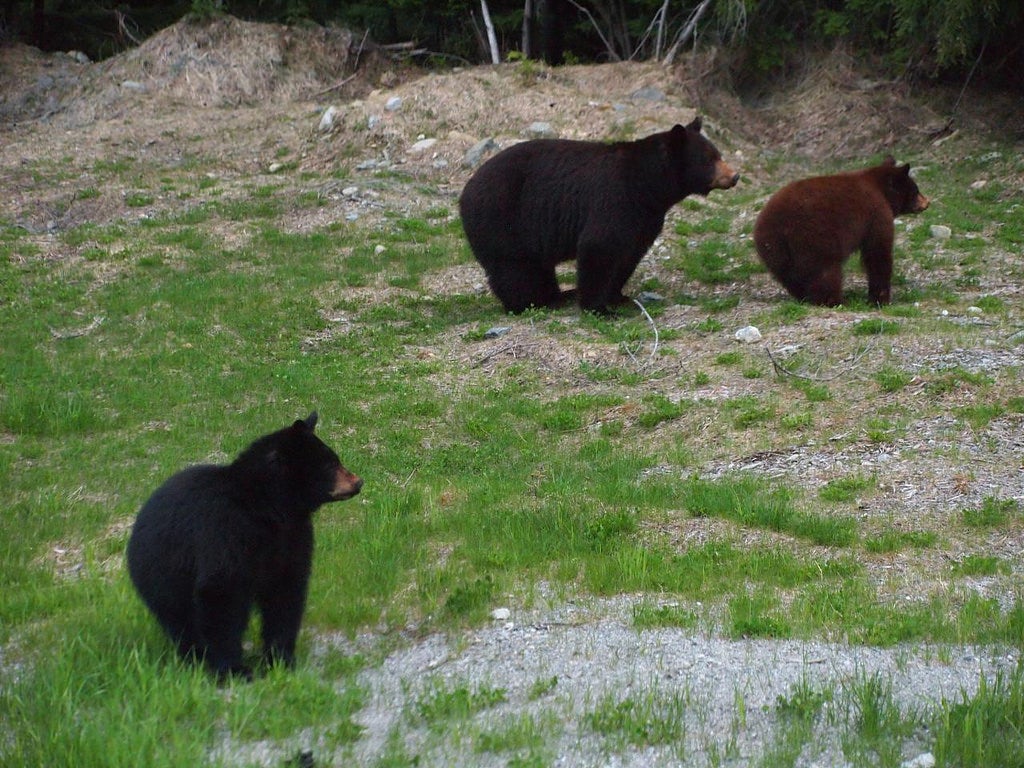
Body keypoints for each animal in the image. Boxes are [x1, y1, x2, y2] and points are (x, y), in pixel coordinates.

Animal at [126, 412, 362, 679]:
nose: (358, 481)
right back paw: (195, 656)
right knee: (181, 619)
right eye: (331, 464)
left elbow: (286, 594)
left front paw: (281, 659)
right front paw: (234, 669)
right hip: (163, 574)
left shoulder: (292, 537)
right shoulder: (225, 532)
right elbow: (219, 591)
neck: (267, 508)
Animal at [459, 117, 740, 314]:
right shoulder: (615, 199)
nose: (734, 175)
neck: (646, 184)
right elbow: (600, 245)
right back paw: (533, 302)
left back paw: (559, 295)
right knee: (515, 268)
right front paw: (599, 307)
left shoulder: (645, 217)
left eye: (719, 154)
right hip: (503, 218)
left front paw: (618, 296)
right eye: (709, 159)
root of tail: (465, 191)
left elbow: (629, 253)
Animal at [752, 157, 930, 307]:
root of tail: (778, 225)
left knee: (789, 275)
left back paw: (805, 296)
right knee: (825, 271)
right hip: (816, 238)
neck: (881, 191)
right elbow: (877, 253)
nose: (927, 202)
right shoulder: (877, 215)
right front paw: (880, 298)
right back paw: (836, 300)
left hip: (774, 248)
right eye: (916, 190)